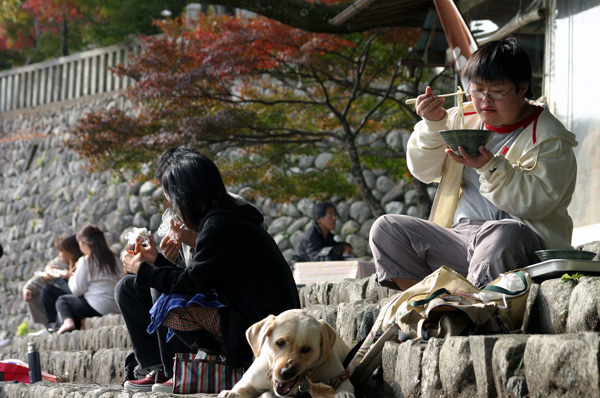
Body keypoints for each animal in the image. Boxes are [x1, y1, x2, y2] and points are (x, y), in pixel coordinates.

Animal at [218, 310, 354, 398]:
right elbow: (241, 387)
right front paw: (232, 393)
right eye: (280, 343)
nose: (286, 372)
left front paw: (344, 393)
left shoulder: (338, 375)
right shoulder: (250, 381)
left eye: (306, 349)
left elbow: (345, 385)